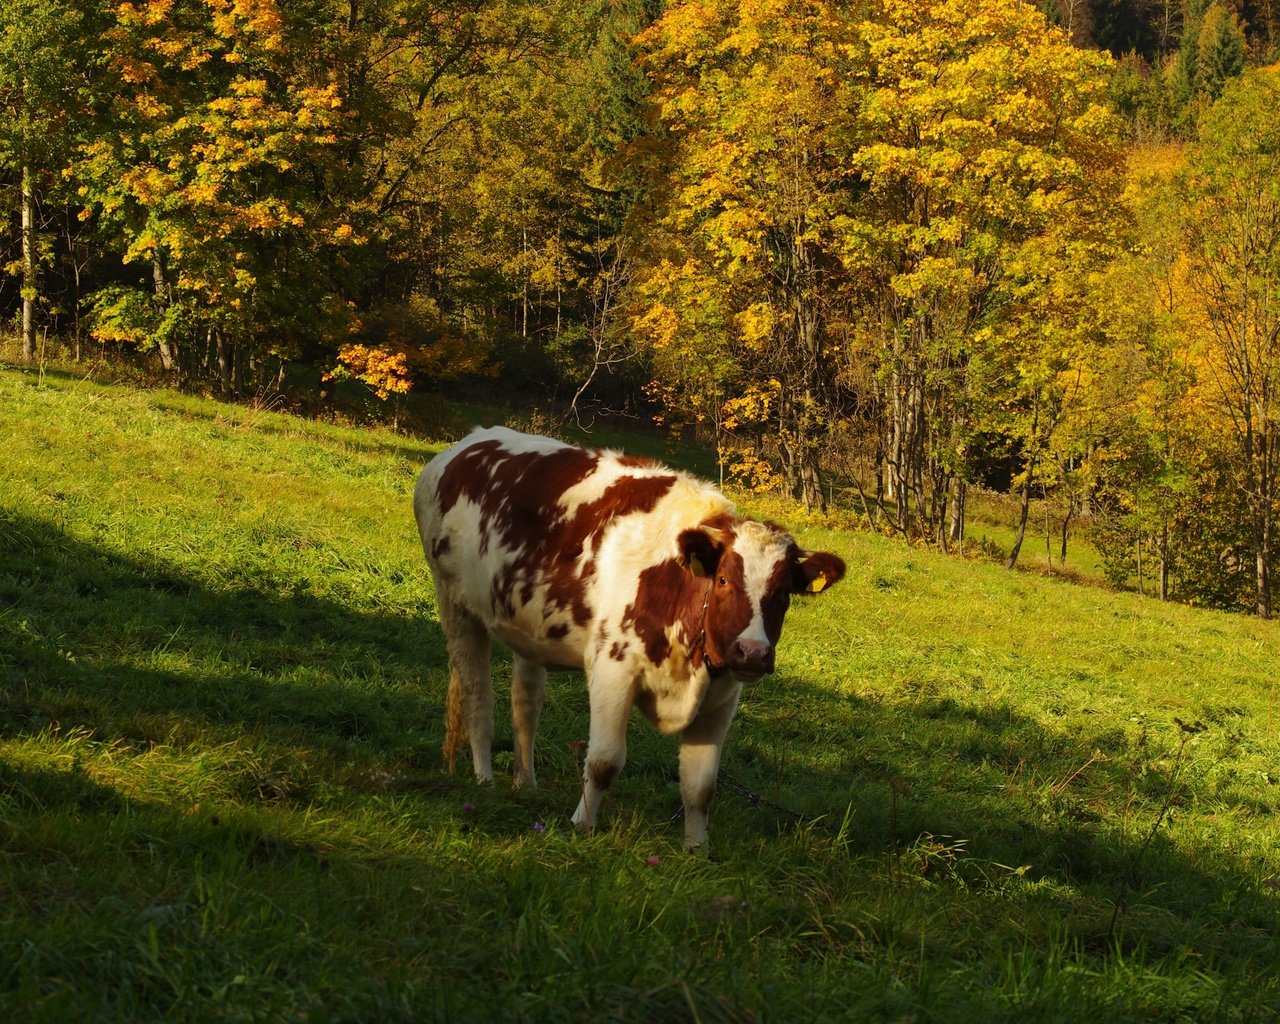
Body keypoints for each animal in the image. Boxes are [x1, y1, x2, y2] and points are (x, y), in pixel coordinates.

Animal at [414, 424, 844, 849]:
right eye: (723, 579)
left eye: (784, 592)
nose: (753, 652)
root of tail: (467, 443)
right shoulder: (612, 670)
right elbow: (604, 761)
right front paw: (581, 826)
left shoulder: (722, 696)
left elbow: (701, 785)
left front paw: (697, 850)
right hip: (456, 605)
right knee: (477, 695)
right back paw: (484, 779)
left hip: (528, 628)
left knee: (525, 704)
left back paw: (526, 783)